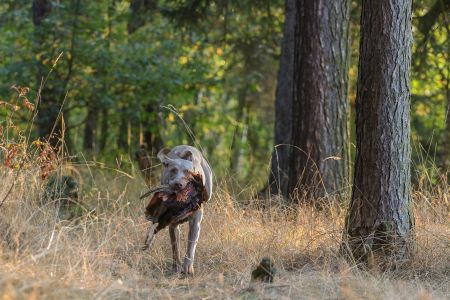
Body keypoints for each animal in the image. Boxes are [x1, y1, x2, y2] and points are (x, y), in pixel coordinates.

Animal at [156, 145, 212, 274]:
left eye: (187, 172)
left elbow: (191, 245)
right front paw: (176, 267)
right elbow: (175, 247)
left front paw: (187, 268)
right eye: (173, 170)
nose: (178, 183)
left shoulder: (195, 223)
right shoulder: (172, 225)